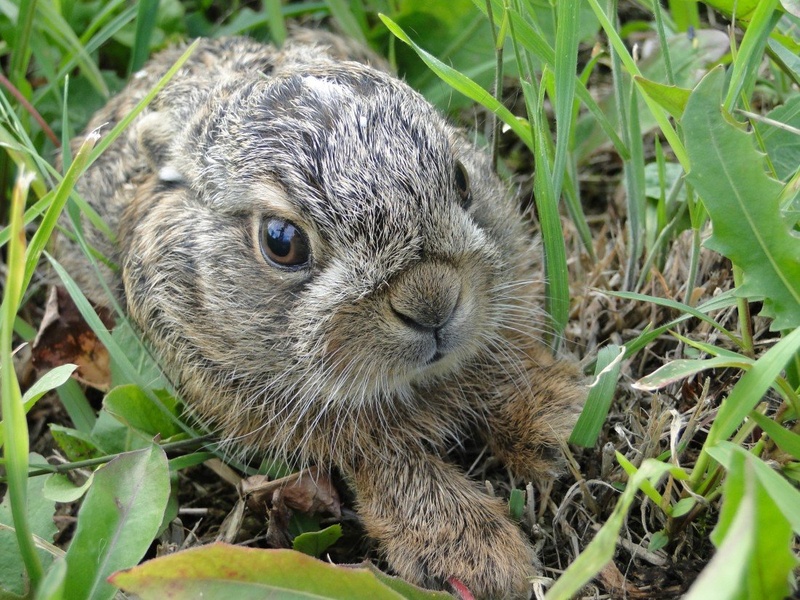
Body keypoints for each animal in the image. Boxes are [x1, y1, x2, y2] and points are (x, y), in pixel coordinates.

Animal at [57, 31, 587, 599]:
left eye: (462, 180)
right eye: (281, 241)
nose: (432, 302)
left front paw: (557, 416)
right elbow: (389, 463)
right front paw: (480, 559)